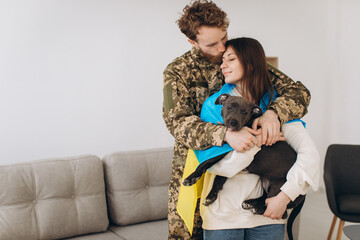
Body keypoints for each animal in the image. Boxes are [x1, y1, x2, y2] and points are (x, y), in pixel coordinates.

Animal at [184, 93, 306, 240]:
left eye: (245, 112)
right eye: (229, 106)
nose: (233, 123)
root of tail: (304, 194)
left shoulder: (227, 153)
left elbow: (205, 163)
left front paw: (191, 178)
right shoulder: (229, 163)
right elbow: (219, 178)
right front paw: (211, 196)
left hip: (279, 189)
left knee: (280, 212)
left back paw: (258, 209)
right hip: (267, 183)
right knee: (265, 197)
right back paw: (250, 203)